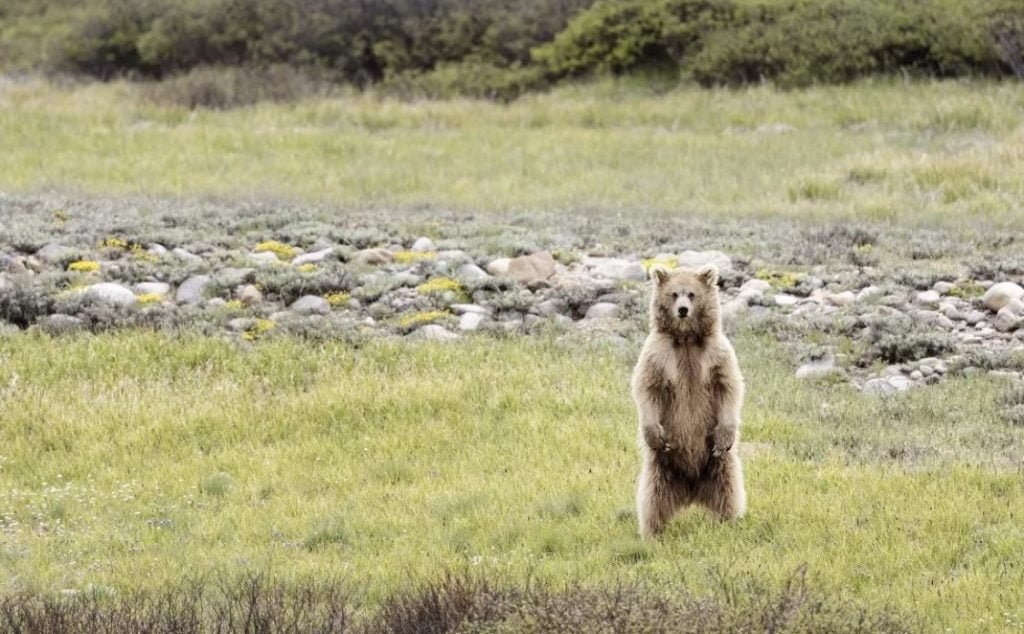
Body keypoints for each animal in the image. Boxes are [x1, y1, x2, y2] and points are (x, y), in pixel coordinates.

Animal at [630, 266, 745, 536]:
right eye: (674, 294)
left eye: (692, 294)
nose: (682, 310)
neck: (686, 340)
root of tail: (691, 490)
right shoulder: (658, 354)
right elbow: (646, 386)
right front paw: (653, 432)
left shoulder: (716, 354)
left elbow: (729, 386)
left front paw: (726, 432)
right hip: (661, 465)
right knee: (652, 497)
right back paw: (652, 532)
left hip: (719, 463)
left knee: (729, 490)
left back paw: (730, 522)